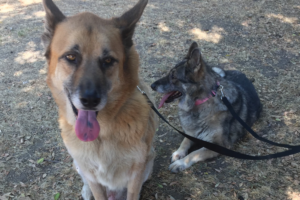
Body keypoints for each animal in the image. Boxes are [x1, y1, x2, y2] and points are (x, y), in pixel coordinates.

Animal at [151, 41, 262, 172]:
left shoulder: (218, 146)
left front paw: (180, 163)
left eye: (173, 76)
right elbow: (185, 141)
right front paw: (178, 153)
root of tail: (241, 73)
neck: (201, 101)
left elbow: (194, 153)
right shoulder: (190, 133)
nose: (152, 86)